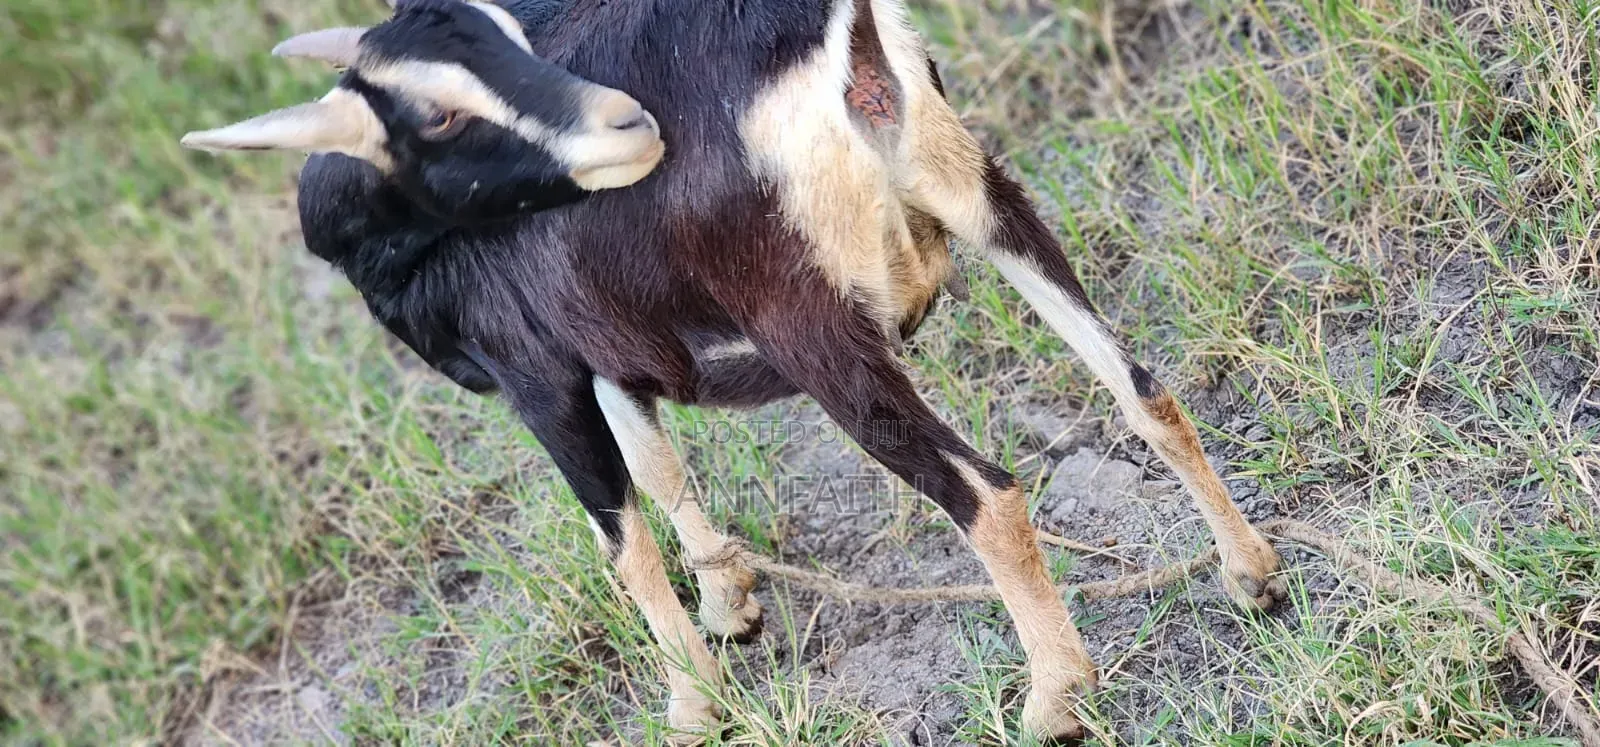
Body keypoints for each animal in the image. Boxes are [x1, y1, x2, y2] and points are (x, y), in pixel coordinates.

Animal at [181, 0, 1287, 740]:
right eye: (439, 108)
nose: (625, 124)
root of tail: (842, 50)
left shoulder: (540, 377)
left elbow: (623, 541)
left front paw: (690, 703)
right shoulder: (613, 355)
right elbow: (663, 473)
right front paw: (732, 604)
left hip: (813, 328)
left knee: (988, 494)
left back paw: (1053, 700)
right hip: (979, 191)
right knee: (1140, 386)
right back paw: (1252, 576)